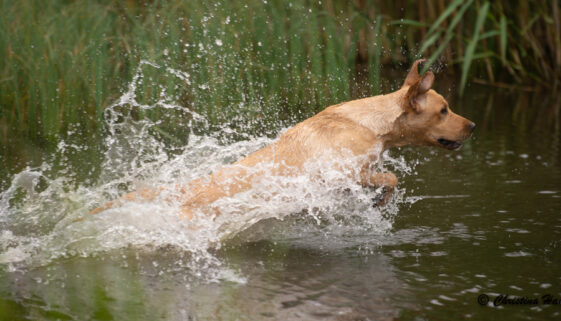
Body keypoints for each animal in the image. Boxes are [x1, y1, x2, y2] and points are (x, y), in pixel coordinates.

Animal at [89, 59, 474, 220]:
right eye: (444, 110)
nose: (472, 125)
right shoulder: (343, 172)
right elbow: (390, 177)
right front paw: (381, 199)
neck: (369, 122)